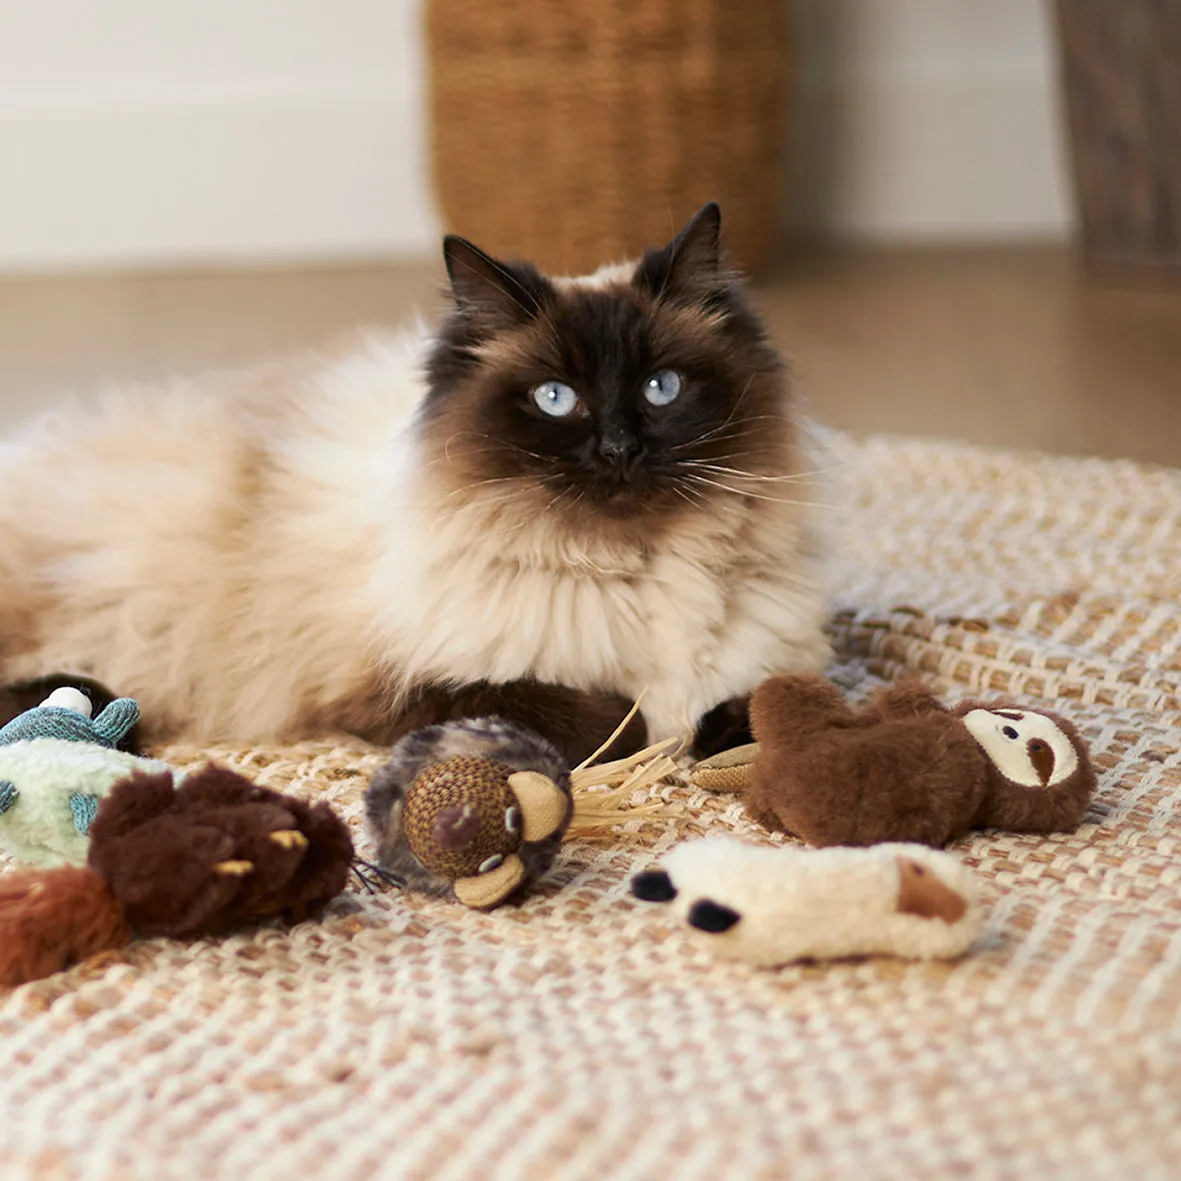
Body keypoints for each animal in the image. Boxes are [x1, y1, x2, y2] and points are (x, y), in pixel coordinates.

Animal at [0, 203, 831, 760]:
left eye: (662, 388)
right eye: (554, 398)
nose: (619, 448)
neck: (638, 570)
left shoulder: (772, 668)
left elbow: (764, 706)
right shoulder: (396, 689)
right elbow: (612, 717)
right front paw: (654, 733)